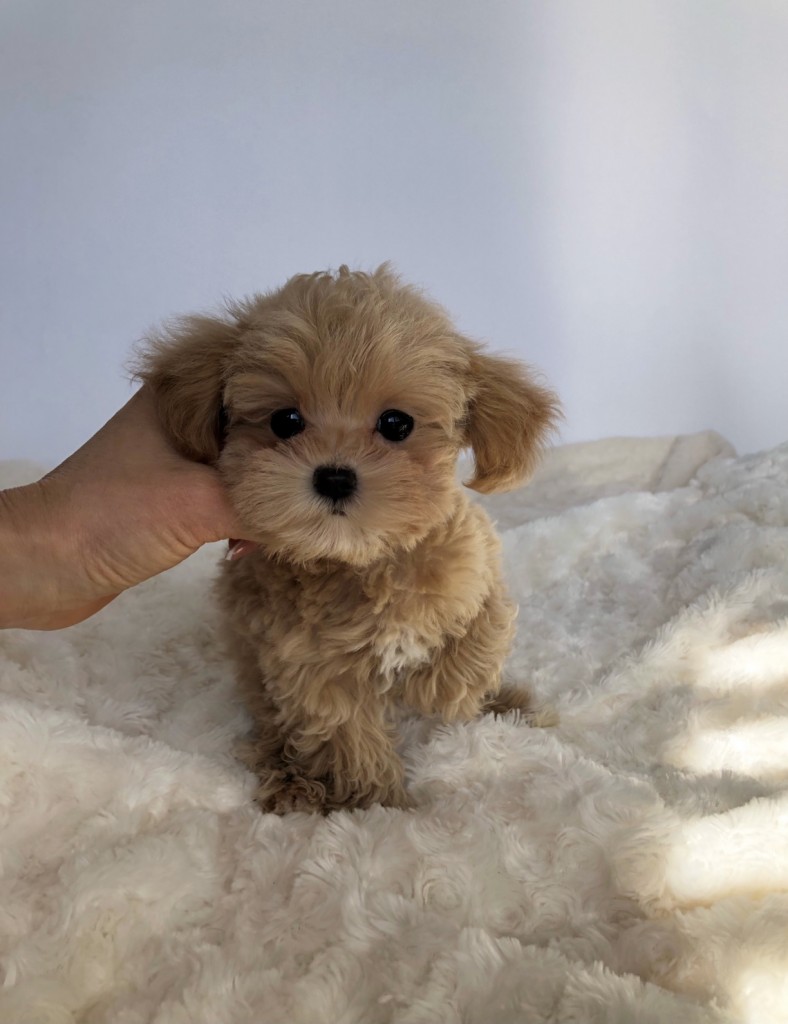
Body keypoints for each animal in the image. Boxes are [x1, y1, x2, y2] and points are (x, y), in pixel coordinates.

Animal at [141, 268, 556, 811]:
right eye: (285, 421)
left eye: (396, 423)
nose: (335, 477)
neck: (361, 557)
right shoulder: (310, 667)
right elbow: (347, 735)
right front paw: (381, 805)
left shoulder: (475, 565)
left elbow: (480, 633)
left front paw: (440, 689)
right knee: (276, 731)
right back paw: (293, 783)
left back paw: (509, 707)